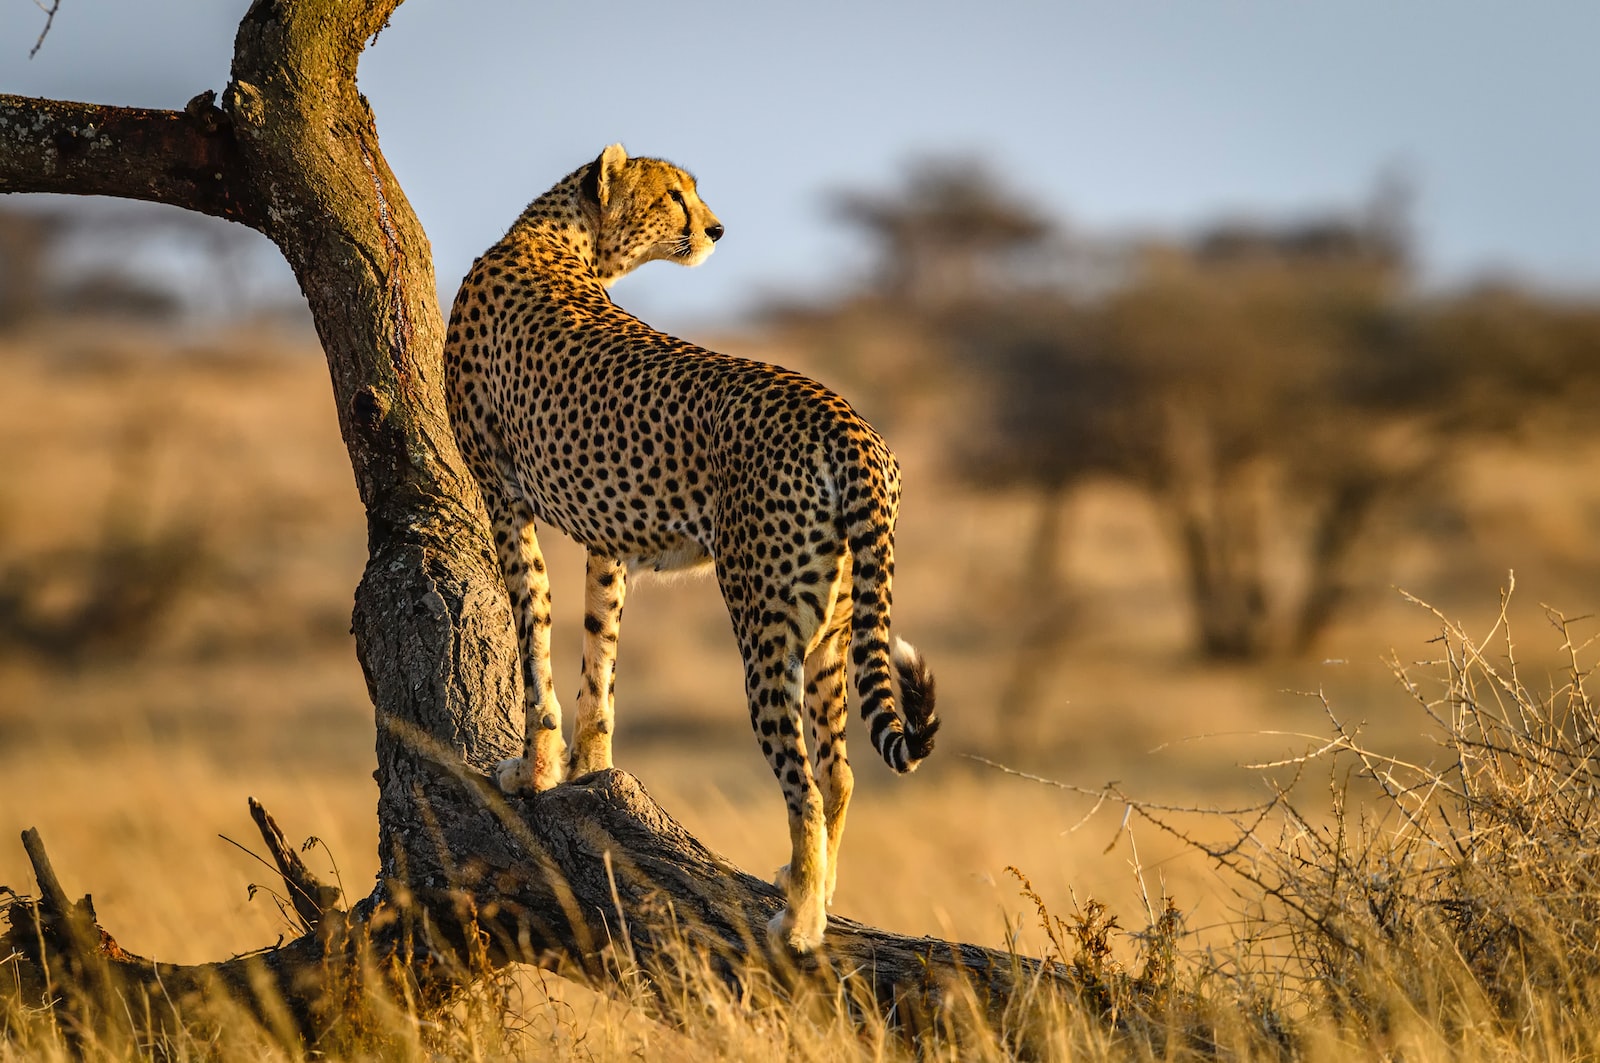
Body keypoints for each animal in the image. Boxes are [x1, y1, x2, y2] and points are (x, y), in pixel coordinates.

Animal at [441, 145, 934, 947]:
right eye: (675, 194)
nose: (716, 227)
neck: (556, 238)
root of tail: (847, 421)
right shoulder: (605, 536)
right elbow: (599, 655)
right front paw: (591, 767)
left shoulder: (504, 495)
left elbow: (533, 638)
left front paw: (534, 769)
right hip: (835, 627)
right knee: (839, 774)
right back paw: (816, 891)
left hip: (765, 626)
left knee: (801, 781)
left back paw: (798, 921)